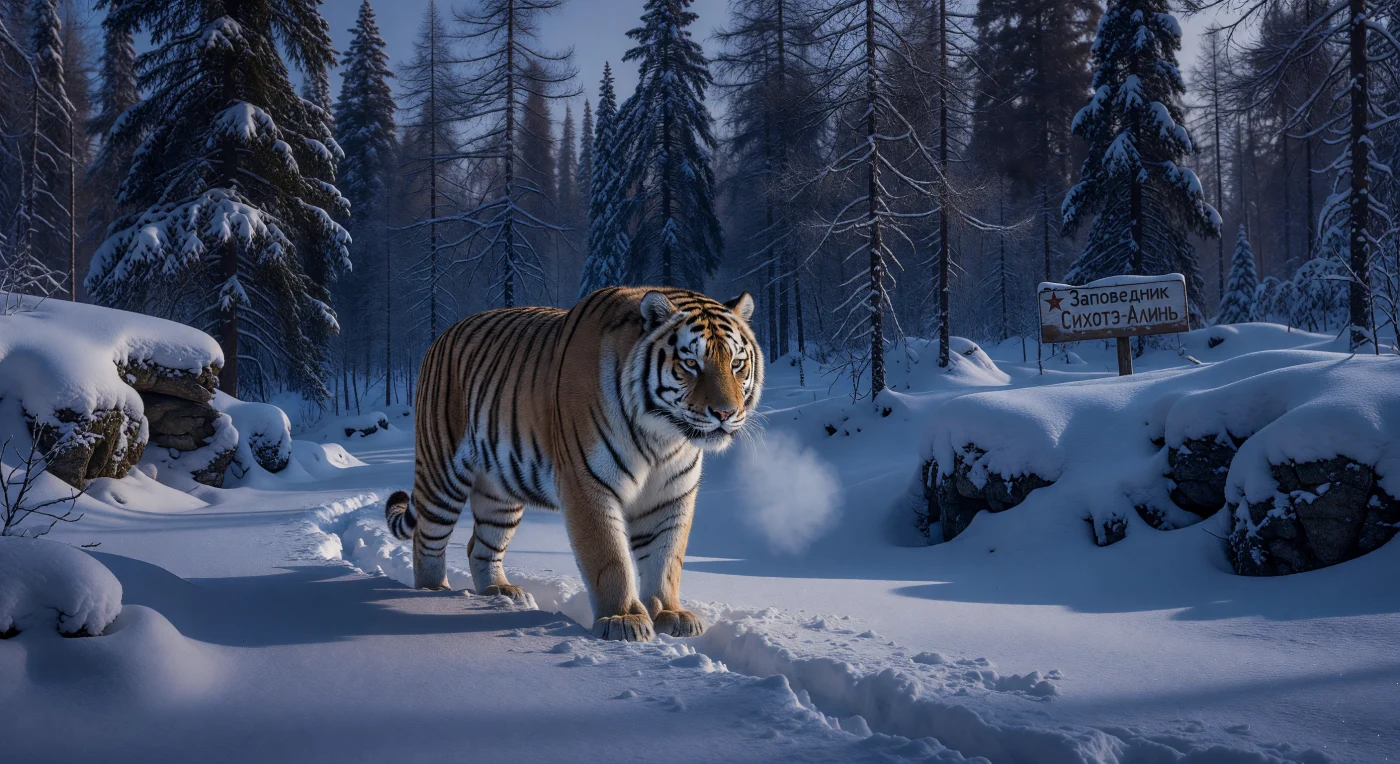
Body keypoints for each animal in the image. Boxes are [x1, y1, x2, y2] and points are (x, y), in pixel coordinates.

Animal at [385, 286, 763, 642]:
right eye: (691, 364)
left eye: (736, 363)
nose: (725, 413)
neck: (663, 437)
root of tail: (442, 334)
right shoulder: (588, 483)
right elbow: (610, 557)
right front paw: (623, 619)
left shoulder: (671, 494)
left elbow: (666, 559)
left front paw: (670, 614)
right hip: (442, 473)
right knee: (426, 540)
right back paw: (434, 595)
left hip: (499, 493)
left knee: (480, 545)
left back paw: (499, 591)